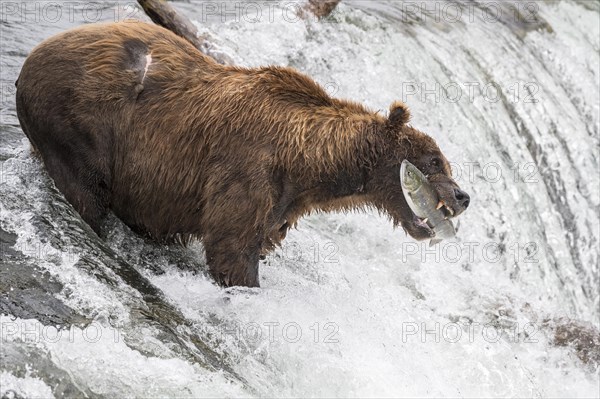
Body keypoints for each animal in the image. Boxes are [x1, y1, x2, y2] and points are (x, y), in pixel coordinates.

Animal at [14, 21, 468, 288]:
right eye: (434, 161)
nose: (463, 196)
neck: (309, 163)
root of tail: (30, 59)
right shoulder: (248, 168)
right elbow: (232, 247)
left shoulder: (282, 202)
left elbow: (259, 238)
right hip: (78, 123)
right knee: (86, 192)